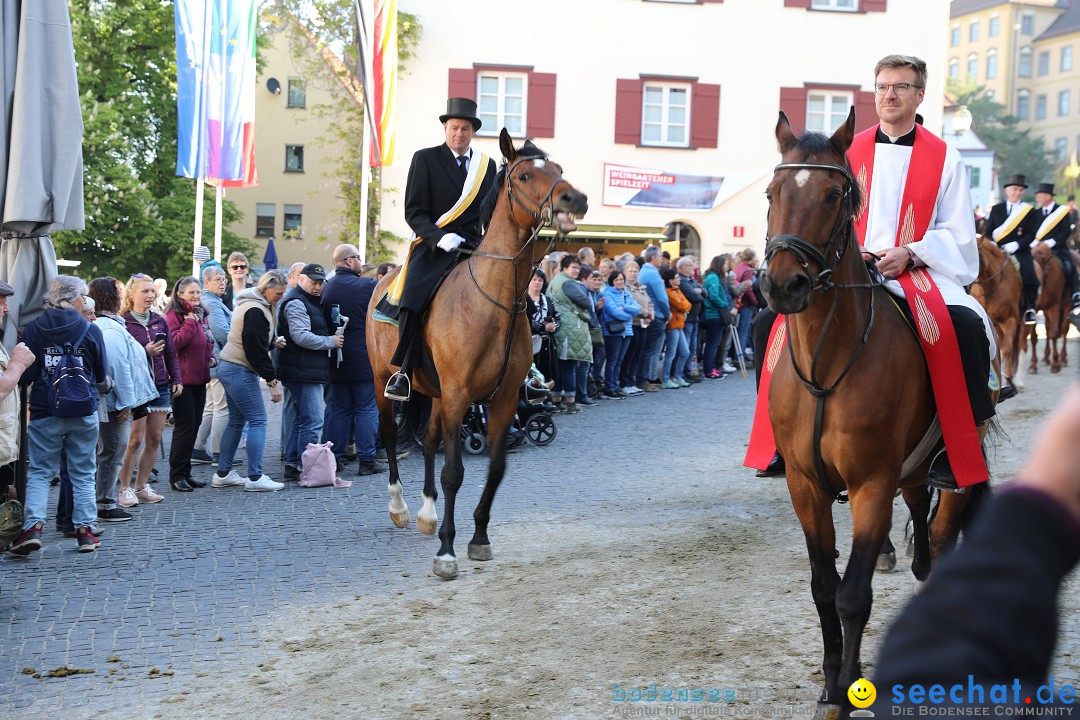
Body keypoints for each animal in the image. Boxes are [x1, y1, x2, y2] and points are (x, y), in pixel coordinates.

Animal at [362, 129, 587, 578]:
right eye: (523, 175)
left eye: (558, 168)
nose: (576, 199)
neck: (496, 302)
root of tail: (383, 280)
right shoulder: (459, 396)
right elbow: (454, 472)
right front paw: (447, 552)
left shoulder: (501, 399)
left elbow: (495, 469)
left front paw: (478, 538)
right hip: (385, 382)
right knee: (391, 434)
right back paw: (399, 507)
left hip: (433, 393)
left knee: (428, 440)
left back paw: (428, 514)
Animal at [760, 108, 989, 720]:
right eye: (772, 193)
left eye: (834, 195)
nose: (783, 284)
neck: (829, 360)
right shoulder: (806, 485)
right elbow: (824, 586)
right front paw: (831, 681)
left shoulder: (870, 483)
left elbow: (853, 595)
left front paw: (846, 691)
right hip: (909, 472)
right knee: (922, 529)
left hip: (949, 461)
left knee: (943, 534)